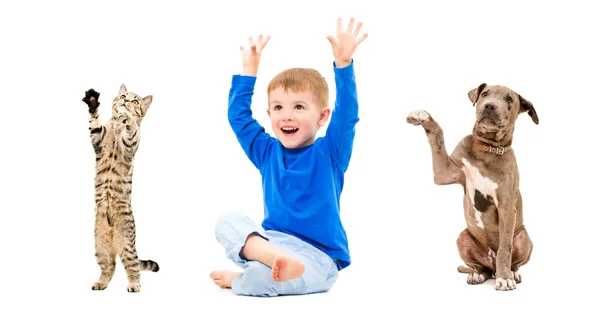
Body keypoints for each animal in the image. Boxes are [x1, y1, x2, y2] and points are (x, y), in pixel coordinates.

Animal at [82, 84, 158, 292]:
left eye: (135, 101)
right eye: (123, 96)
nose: (125, 101)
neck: (116, 127)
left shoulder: (130, 145)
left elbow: (131, 129)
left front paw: (128, 117)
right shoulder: (98, 138)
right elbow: (94, 122)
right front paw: (93, 103)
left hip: (126, 244)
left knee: (133, 267)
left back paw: (134, 284)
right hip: (100, 248)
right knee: (110, 268)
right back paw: (100, 283)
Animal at [408, 83, 540, 290]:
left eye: (509, 99)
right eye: (485, 94)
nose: (490, 106)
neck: (487, 149)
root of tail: (491, 266)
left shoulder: (506, 206)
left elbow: (505, 247)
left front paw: (505, 278)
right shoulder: (445, 173)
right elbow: (438, 137)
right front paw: (423, 117)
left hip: (524, 238)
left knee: (511, 259)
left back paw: (510, 273)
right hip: (463, 237)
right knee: (480, 267)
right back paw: (477, 274)